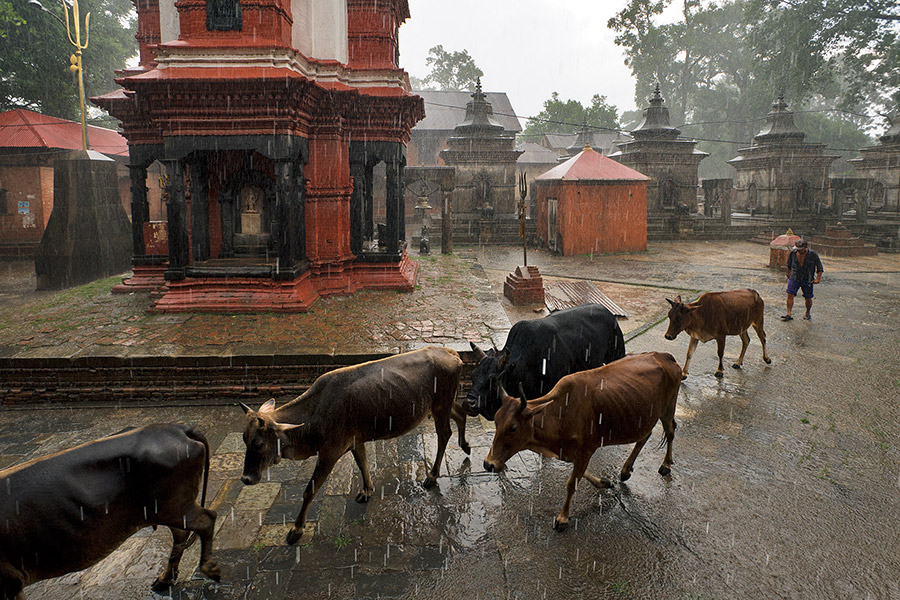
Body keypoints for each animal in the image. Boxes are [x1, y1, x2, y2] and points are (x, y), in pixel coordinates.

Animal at [1, 424, 221, 596]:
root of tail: (180, 429)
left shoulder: (11, 582)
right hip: (168, 508)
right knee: (182, 533)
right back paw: (163, 580)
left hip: (174, 505)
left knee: (207, 518)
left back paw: (211, 569)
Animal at [239, 344, 472, 548]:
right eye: (244, 438)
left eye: (259, 443)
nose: (246, 478)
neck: (314, 413)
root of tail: (452, 353)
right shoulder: (355, 441)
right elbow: (363, 464)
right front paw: (367, 490)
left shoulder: (329, 453)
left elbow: (309, 491)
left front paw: (296, 530)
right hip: (441, 405)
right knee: (461, 413)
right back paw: (466, 446)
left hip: (440, 405)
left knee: (444, 434)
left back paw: (432, 476)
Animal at [486, 352, 684, 528]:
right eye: (496, 420)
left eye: (513, 427)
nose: (488, 464)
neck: (560, 412)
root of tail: (664, 356)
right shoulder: (571, 452)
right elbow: (581, 473)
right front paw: (603, 482)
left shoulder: (586, 450)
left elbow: (571, 483)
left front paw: (563, 518)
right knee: (645, 436)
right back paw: (625, 471)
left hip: (668, 408)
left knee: (670, 431)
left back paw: (666, 465)